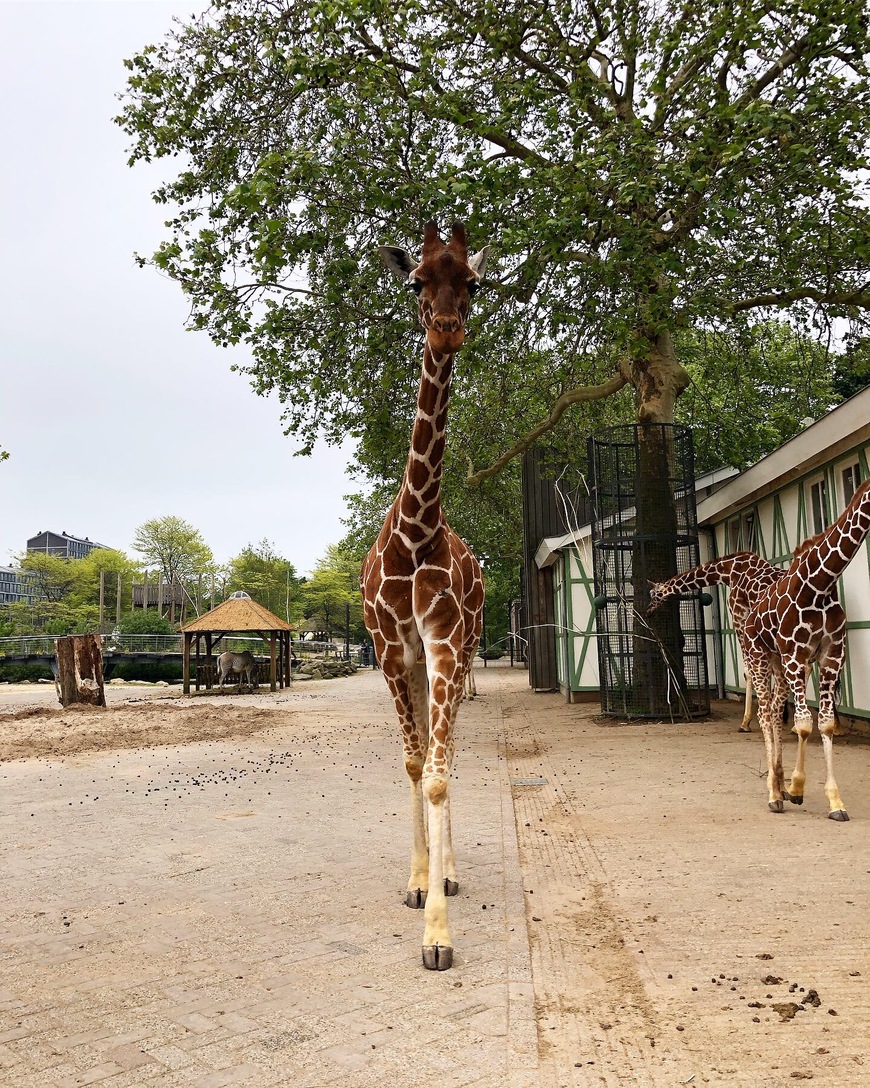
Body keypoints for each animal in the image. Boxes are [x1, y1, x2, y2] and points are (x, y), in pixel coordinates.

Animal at [643, 552, 783, 731]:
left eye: (653, 594)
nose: (648, 612)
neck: (728, 571)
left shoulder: (739, 615)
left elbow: (748, 670)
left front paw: (746, 722)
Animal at [739, 480, 870, 818]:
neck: (821, 583)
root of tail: (749, 619)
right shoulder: (796, 656)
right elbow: (803, 724)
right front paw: (797, 788)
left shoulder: (830, 656)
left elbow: (824, 724)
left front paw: (835, 801)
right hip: (758, 656)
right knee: (763, 712)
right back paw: (774, 793)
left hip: (779, 662)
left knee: (774, 710)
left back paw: (779, 780)